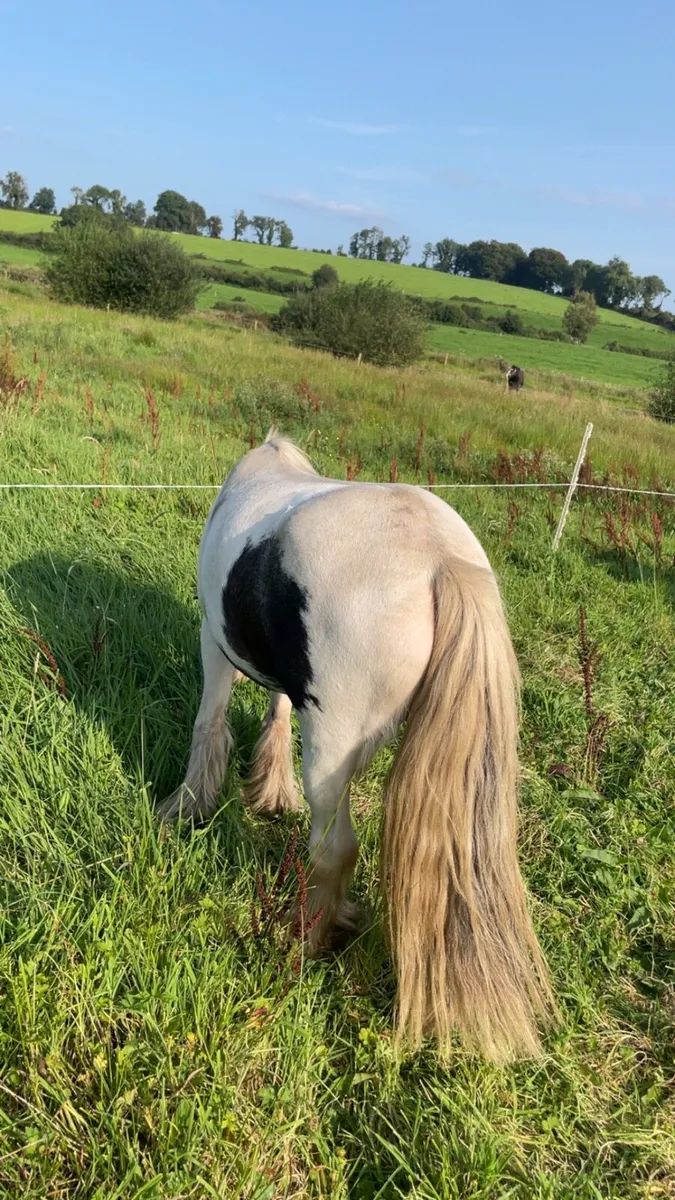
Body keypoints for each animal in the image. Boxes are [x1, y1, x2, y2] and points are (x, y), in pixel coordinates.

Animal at [160, 432, 554, 1061]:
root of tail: (437, 559)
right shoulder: (286, 677)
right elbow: (277, 712)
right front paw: (270, 792)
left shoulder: (213, 641)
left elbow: (209, 721)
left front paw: (188, 806)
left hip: (330, 754)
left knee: (335, 849)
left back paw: (303, 944)